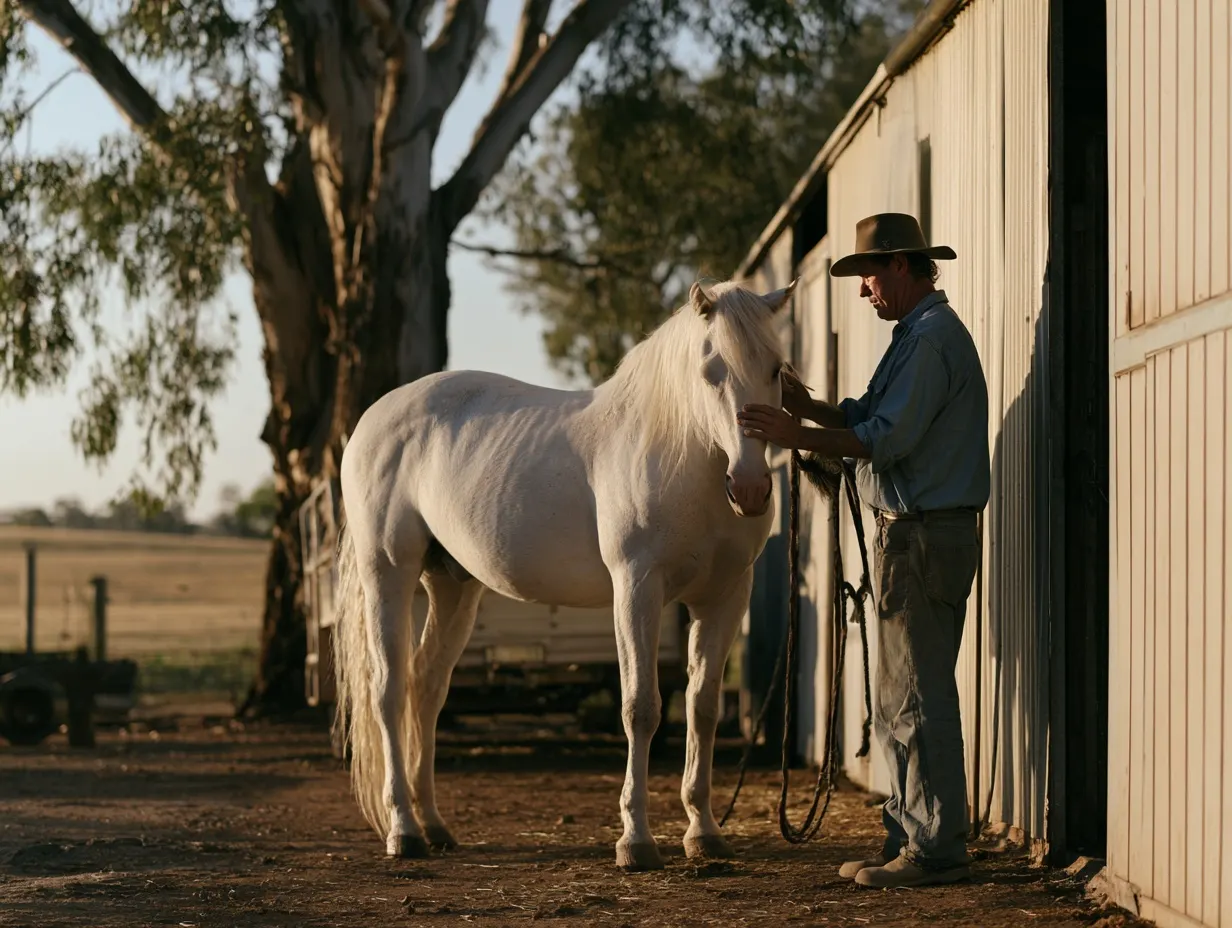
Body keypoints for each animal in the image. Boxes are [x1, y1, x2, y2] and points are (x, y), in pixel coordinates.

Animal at [331, 276, 796, 871]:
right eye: (711, 371)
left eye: (776, 369)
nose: (751, 488)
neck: (680, 451)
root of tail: (371, 420)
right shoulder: (637, 588)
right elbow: (641, 707)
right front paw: (636, 841)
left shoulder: (723, 598)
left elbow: (703, 708)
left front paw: (704, 831)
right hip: (388, 575)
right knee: (389, 691)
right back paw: (404, 832)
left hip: (452, 586)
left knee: (426, 687)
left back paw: (434, 825)